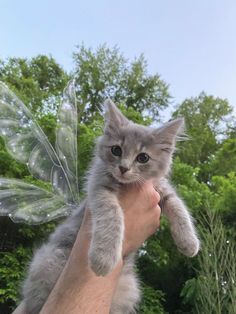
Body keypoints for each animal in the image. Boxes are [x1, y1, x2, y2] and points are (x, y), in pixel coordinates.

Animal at [22, 100, 199, 314]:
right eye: (116, 150)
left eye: (143, 158)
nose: (123, 168)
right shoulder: (99, 188)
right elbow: (112, 215)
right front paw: (103, 258)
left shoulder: (161, 188)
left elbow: (179, 207)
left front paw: (189, 243)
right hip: (49, 263)